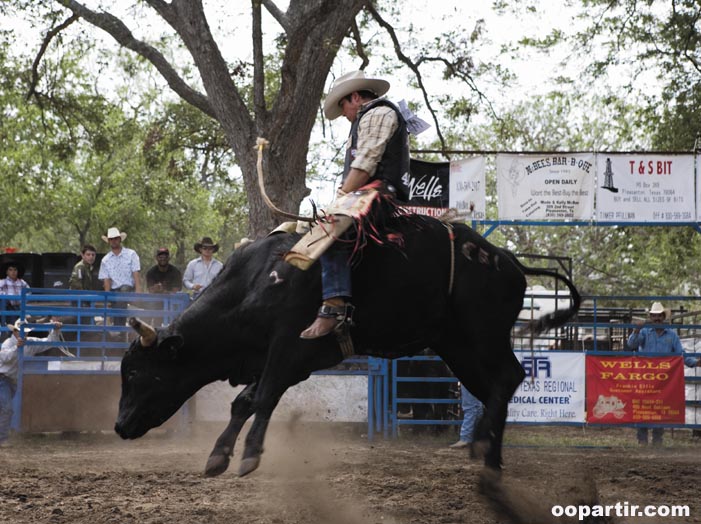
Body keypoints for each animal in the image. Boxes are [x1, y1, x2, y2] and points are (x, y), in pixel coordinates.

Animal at [115, 215, 576, 476]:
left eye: (136, 372)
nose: (119, 426)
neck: (260, 280)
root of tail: (509, 261)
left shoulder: (289, 348)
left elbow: (261, 398)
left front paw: (248, 456)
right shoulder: (287, 359)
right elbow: (245, 401)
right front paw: (218, 455)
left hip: (482, 337)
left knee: (507, 377)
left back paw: (490, 457)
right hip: (457, 347)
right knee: (493, 387)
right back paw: (486, 452)